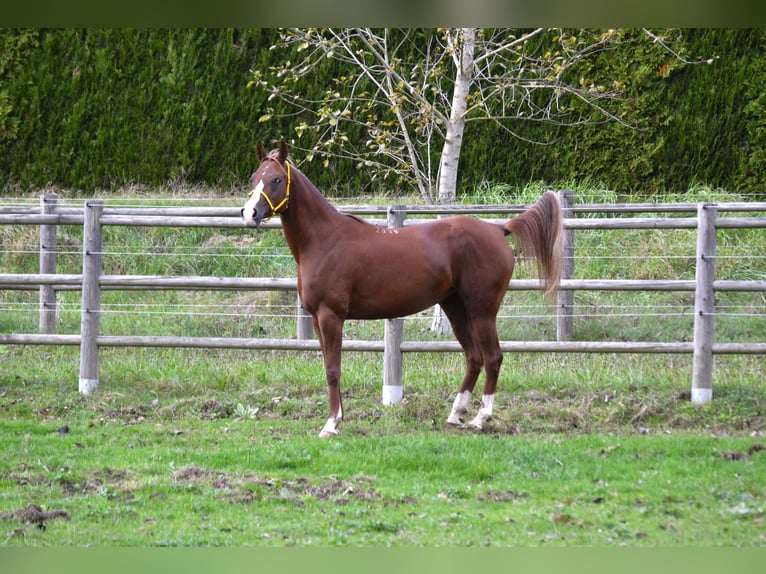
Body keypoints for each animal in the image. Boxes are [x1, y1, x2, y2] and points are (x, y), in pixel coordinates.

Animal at [243, 142, 568, 438]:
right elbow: (328, 367)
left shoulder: (330, 315)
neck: (326, 240)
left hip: (482, 310)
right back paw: (455, 415)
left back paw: (480, 418)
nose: (249, 213)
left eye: (276, 179)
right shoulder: (316, 317)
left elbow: (333, 369)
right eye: (254, 176)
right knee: (474, 358)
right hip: (455, 308)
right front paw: (338, 418)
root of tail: (497, 229)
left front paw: (331, 424)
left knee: (492, 357)